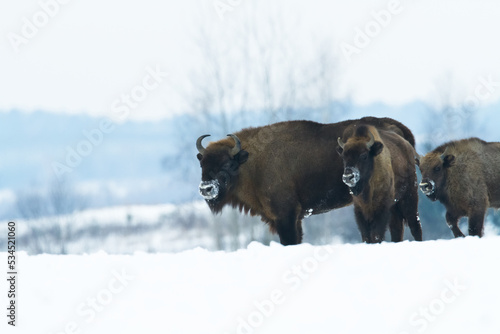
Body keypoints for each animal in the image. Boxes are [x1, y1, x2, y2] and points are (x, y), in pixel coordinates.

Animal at [195, 117, 418, 245]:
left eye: (227, 164)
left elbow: (290, 241)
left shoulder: (285, 216)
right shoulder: (295, 218)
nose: (206, 189)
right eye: (202, 164)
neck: (251, 161)